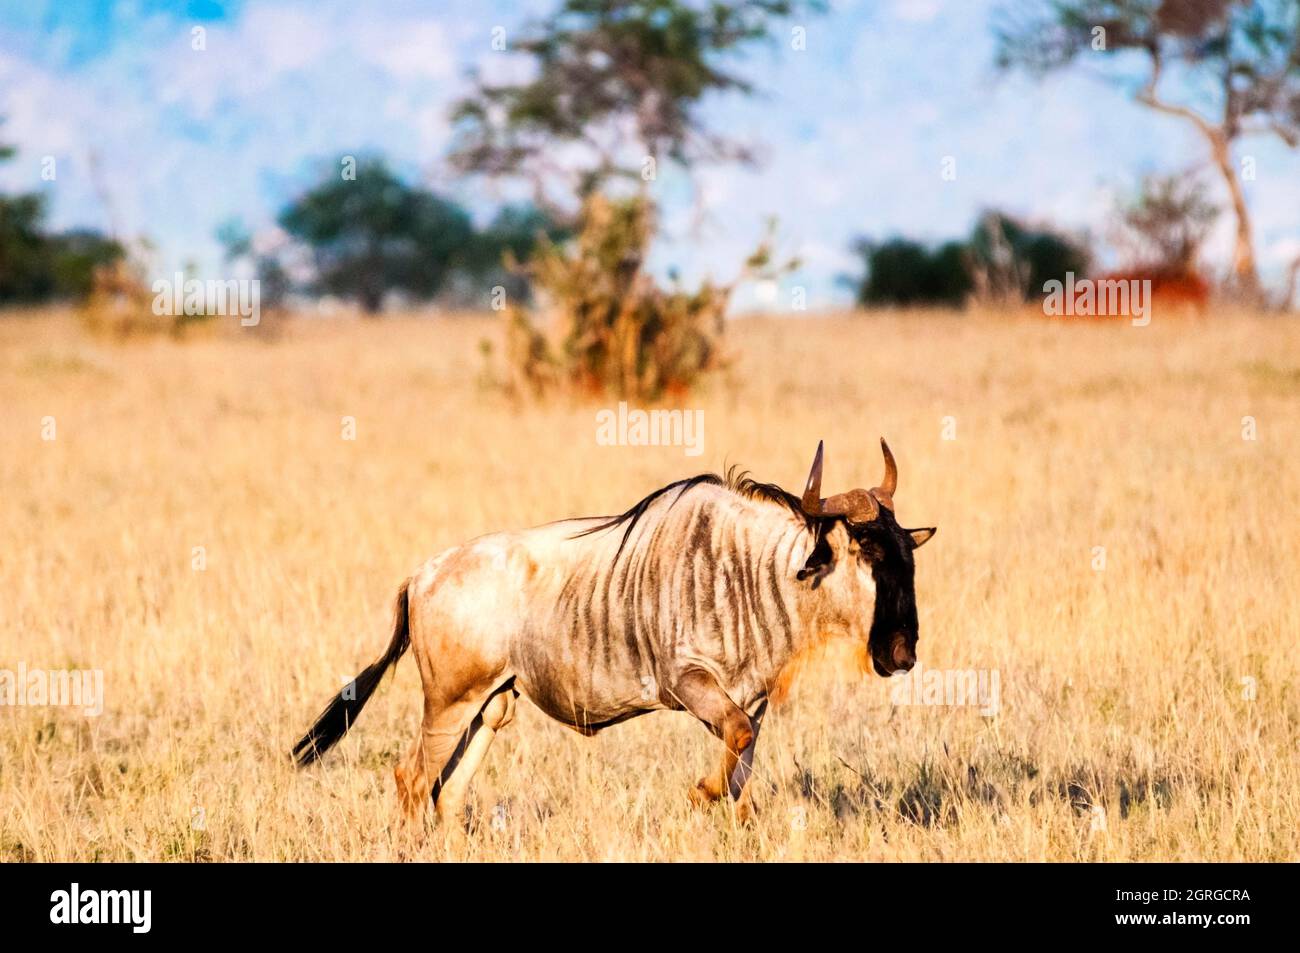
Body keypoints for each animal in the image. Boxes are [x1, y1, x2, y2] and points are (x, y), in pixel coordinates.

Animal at [292, 440, 935, 827]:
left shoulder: (751, 702)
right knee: (411, 779)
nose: (901, 655)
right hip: (448, 702)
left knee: (446, 794)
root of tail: (420, 576)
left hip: (490, 704)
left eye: (908, 557)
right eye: (866, 553)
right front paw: (698, 792)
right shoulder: (687, 682)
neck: (758, 575)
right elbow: (729, 752)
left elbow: (742, 774)